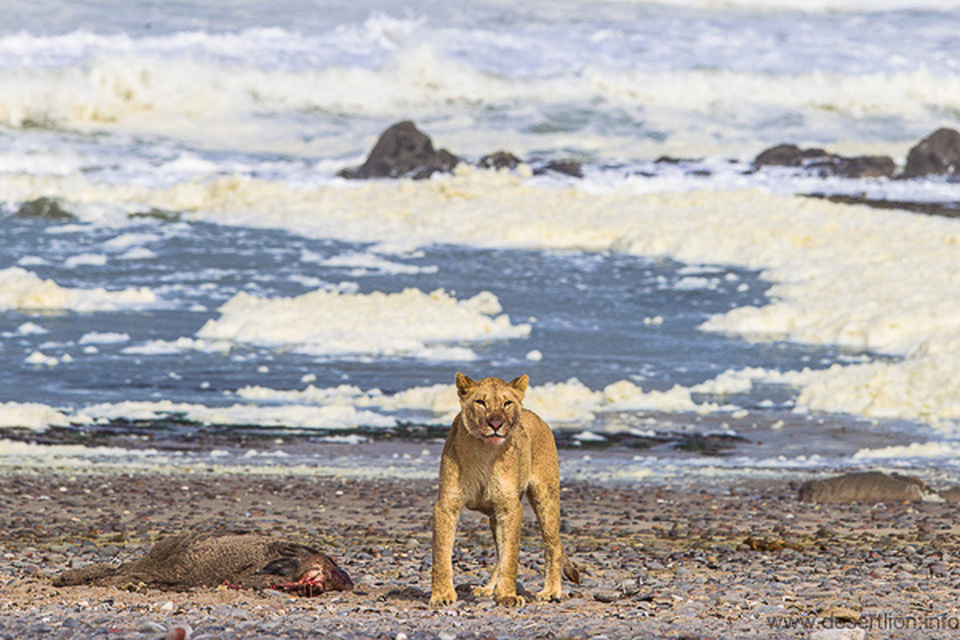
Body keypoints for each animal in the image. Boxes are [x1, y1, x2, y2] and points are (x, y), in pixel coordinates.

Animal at [430, 372, 580, 607]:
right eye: (480, 402)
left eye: (507, 403)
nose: (495, 423)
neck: (484, 452)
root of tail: (534, 415)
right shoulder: (446, 504)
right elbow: (441, 552)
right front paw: (442, 595)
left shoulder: (510, 508)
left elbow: (511, 556)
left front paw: (508, 595)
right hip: (495, 517)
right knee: (500, 552)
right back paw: (488, 588)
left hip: (545, 497)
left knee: (553, 544)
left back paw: (551, 591)